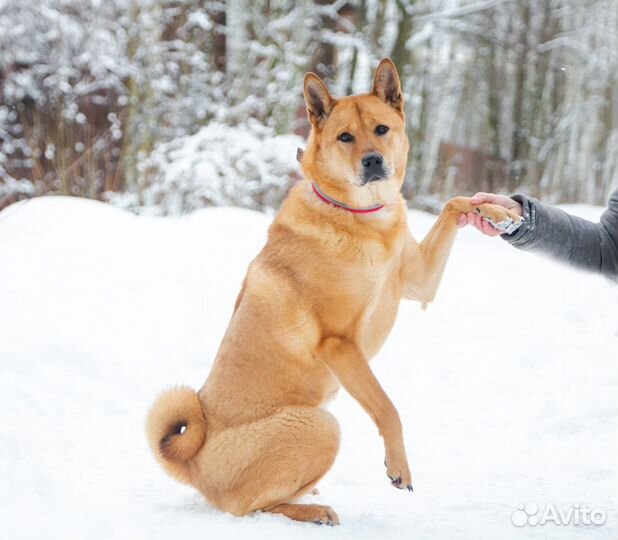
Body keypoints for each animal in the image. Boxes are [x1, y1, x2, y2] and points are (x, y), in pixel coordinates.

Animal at [146, 60, 520, 528]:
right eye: (345, 137)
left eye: (381, 129)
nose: (374, 160)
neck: (358, 214)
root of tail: (193, 464)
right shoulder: (341, 344)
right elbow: (388, 408)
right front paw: (399, 466)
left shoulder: (419, 282)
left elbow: (455, 202)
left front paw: (498, 211)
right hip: (321, 426)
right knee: (250, 506)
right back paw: (312, 509)